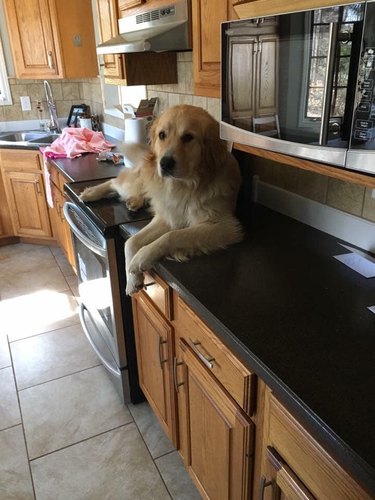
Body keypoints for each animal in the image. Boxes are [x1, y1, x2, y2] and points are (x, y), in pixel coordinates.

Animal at [81, 103, 242, 294]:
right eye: (162, 135)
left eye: (188, 137)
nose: (164, 163)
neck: (184, 186)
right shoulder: (166, 216)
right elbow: (132, 241)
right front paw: (132, 279)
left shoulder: (223, 226)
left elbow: (171, 235)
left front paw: (140, 259)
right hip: (137, 182)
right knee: (114, 182)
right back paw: (91, 193)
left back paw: (133, 202)